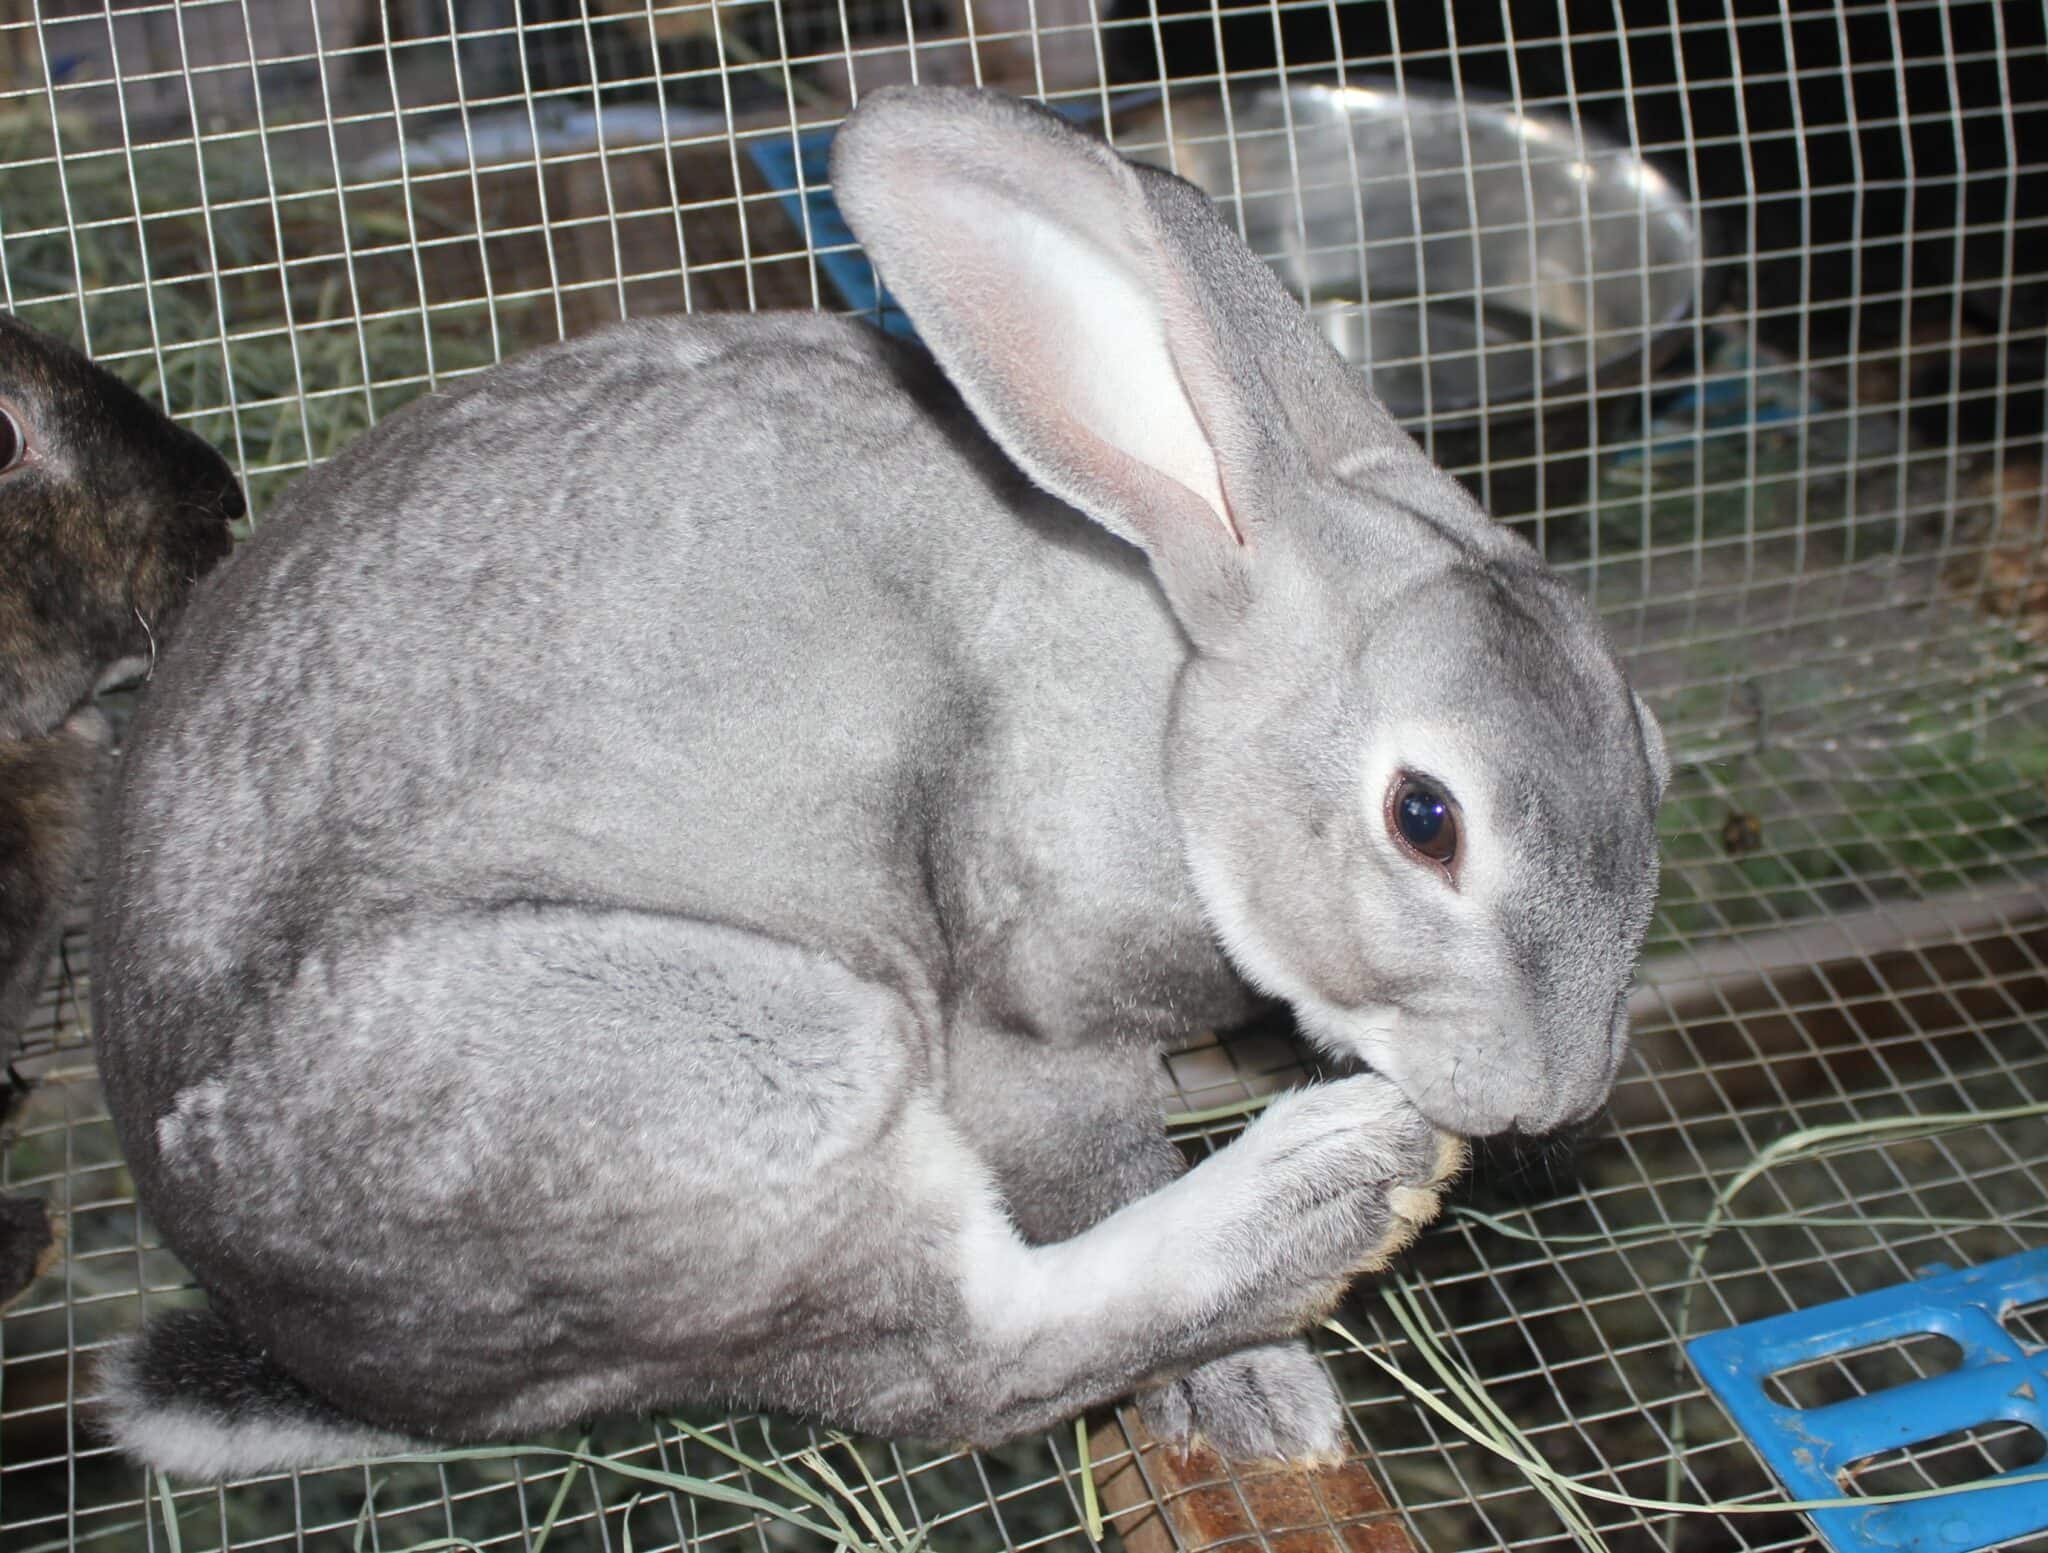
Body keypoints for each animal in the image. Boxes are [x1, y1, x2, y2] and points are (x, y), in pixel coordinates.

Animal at [90, 85, 1667, 1482]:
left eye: (1647, 747)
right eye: (1425, 818)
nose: (1546, 1095)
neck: (1175, 685)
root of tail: (341, 1361)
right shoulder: (1032, 1027)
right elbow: (1086, 1172)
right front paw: (1252, 1401)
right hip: (734, 1061)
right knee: (957, 1360)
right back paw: (1328, 1190)